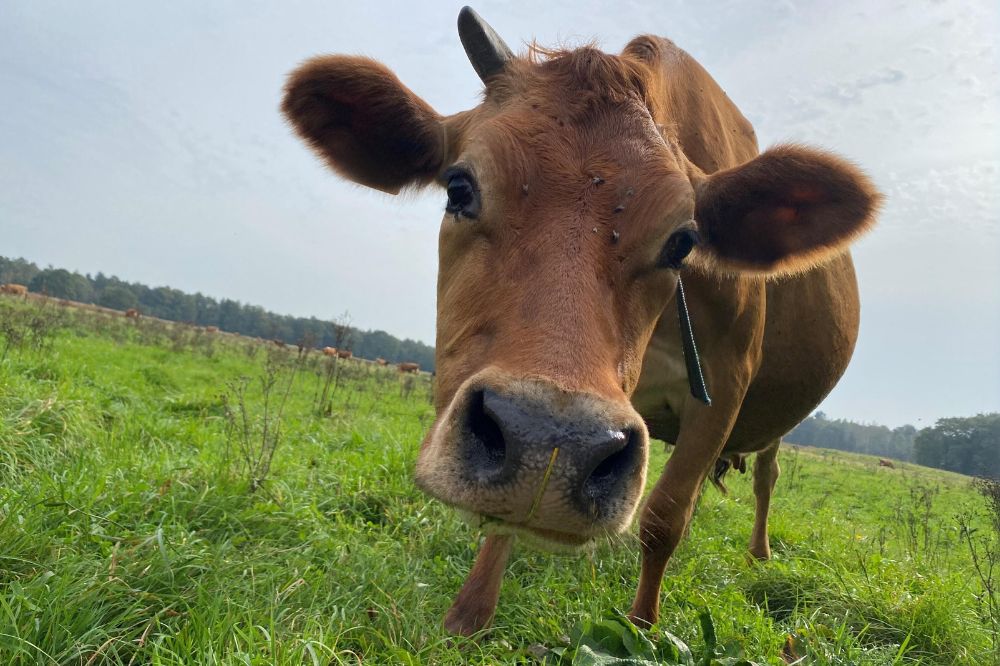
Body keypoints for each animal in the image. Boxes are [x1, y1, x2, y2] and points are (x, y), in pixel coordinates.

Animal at [282, 7, 876, 636]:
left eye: (683, 242)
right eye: (459, 187)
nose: (552, 442)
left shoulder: (725, 387)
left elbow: (665, 516)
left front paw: (642, 627)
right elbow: (507, 525)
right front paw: (467, 618)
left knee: (766, 476)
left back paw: (759, 553)